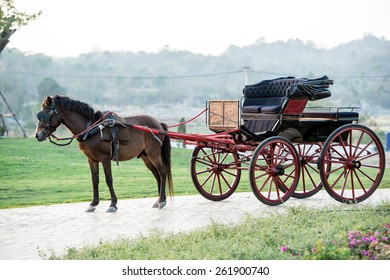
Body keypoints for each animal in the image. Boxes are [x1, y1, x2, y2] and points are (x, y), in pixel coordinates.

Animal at [34, 95, 172, 212]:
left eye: (46, 113)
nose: (37, 135)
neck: (91, 128)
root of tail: (158, 124)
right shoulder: (92, 160)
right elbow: (95, 180)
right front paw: (93, 203)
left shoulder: (104, 158)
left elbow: (108, 179)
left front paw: (113, 204)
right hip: (146, 157)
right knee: (157, 175)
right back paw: (159, 200)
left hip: (153, 154)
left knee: (162, 172)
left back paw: (162, 200)